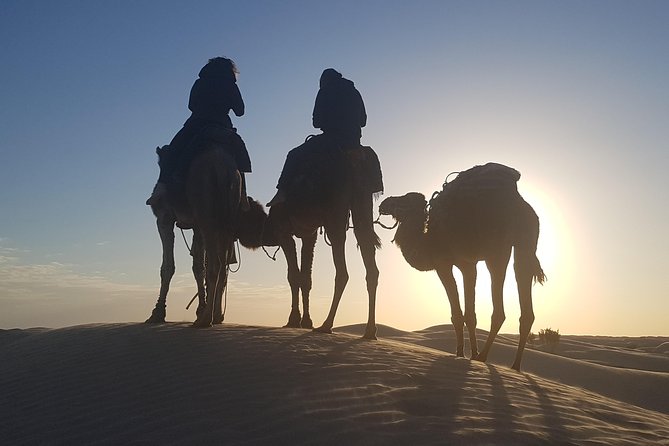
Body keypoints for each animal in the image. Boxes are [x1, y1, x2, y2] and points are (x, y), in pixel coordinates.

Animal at [237, 138, 382, 339]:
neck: (268, 225)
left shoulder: (284, 233)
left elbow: (293, 276)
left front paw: (293, 320)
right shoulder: (309, 234)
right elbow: (306, 277)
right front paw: (306, 321)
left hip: (335, 211)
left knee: (342, 271)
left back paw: (326, 325)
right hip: (363, 202)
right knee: (370, 264)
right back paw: (369, 331)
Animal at [378, 163, 545, 371]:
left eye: (405, 200)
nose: (384, 203)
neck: (427, 242)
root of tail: (518, 201)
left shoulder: (443, 264)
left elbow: (457, 314)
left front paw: (460, 354)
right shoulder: (468, 264)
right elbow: (470, 315)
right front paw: (470, 353)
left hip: (496, 249)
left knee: (499, 309)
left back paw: (483, 357)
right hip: (526, 242)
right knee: (524, 294)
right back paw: (514, 366)